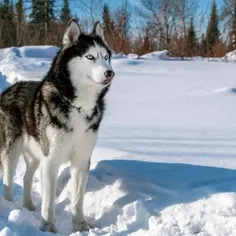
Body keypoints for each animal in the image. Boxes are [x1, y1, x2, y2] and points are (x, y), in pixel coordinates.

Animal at [0, 18, 115, 232]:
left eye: (105, 57)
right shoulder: (50, 160)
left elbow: (77, 199)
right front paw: (48, 227)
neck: (78, 106)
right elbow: (49, 201)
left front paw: (80, 225)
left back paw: (28, 207)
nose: (110, 73)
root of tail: (10, 88)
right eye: (90, 57)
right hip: (12, 151)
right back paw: (10, 206)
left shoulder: (81, 160)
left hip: (34, 156)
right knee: (8, 180)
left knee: (26, 178)